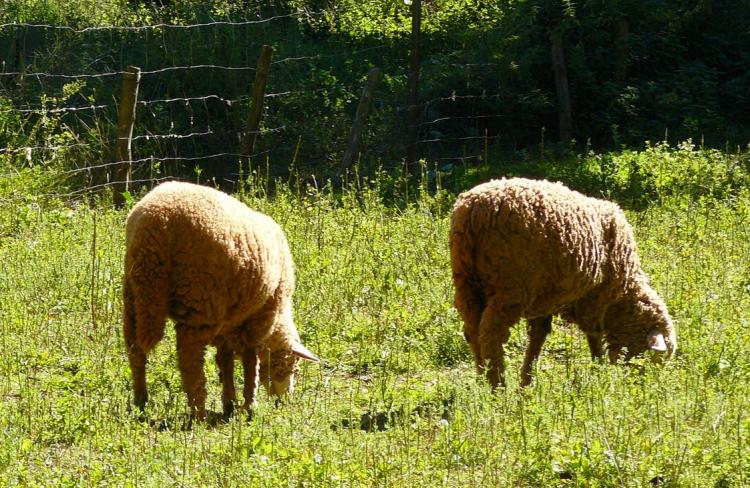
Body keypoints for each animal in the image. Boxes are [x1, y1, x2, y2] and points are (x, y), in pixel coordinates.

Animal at [123, 181, 318, 418]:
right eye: (292, 366)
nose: (284, 401)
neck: (279, 318)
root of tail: (155, 223)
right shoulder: (257, 322)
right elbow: (250, 362)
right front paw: (249, 404)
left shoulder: (228, 321)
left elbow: (225, 359)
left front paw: (230, 402)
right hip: (199, 301)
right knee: (190, 361)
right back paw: (199, 412)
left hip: (134, 296)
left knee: (135, 351)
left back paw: (141, 402)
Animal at [450, 177, 680, 386]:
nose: (640, 385)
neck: (622, 295)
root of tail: (473, 212)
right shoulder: (594, 300)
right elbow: (593, 337)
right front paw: (599, 372)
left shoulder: (544, 300)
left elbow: (538, 337)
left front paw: (526, 382)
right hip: (510, 288)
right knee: (491, 336)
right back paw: (497, 387)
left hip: (466, 282)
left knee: (472, 331)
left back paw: (482, 379)